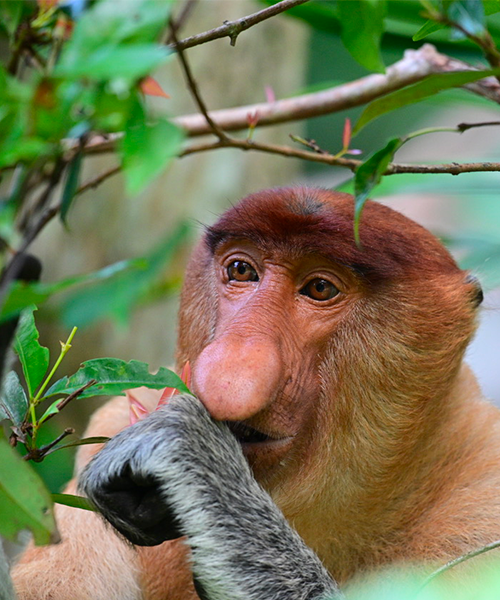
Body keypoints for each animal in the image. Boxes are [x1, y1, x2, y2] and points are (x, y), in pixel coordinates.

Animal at [13, 188, 498, 600]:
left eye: (320, 288)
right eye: (242, 270)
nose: (226, 377)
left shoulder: (483, 496)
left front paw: (190, 451)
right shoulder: (115, 419)